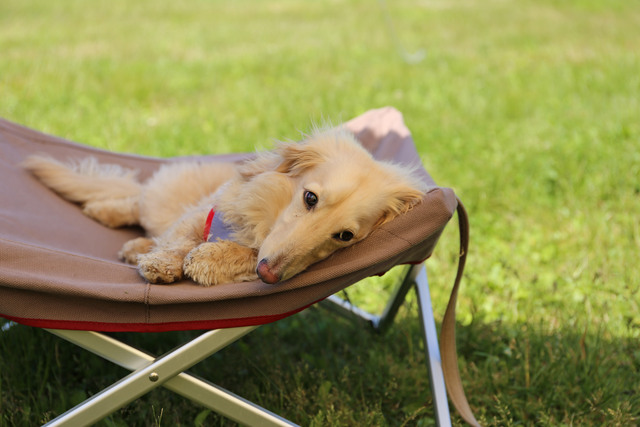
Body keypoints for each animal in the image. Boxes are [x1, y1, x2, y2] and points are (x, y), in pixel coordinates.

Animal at [25, 127, 428, 288]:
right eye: (310, 198)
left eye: (345, 236)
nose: (270, 276)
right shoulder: (203, 214)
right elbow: (181, 239)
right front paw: (165, 263)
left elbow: (243, 254)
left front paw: (209, 260)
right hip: (159, 202)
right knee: (138, 203)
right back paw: (105, 211)